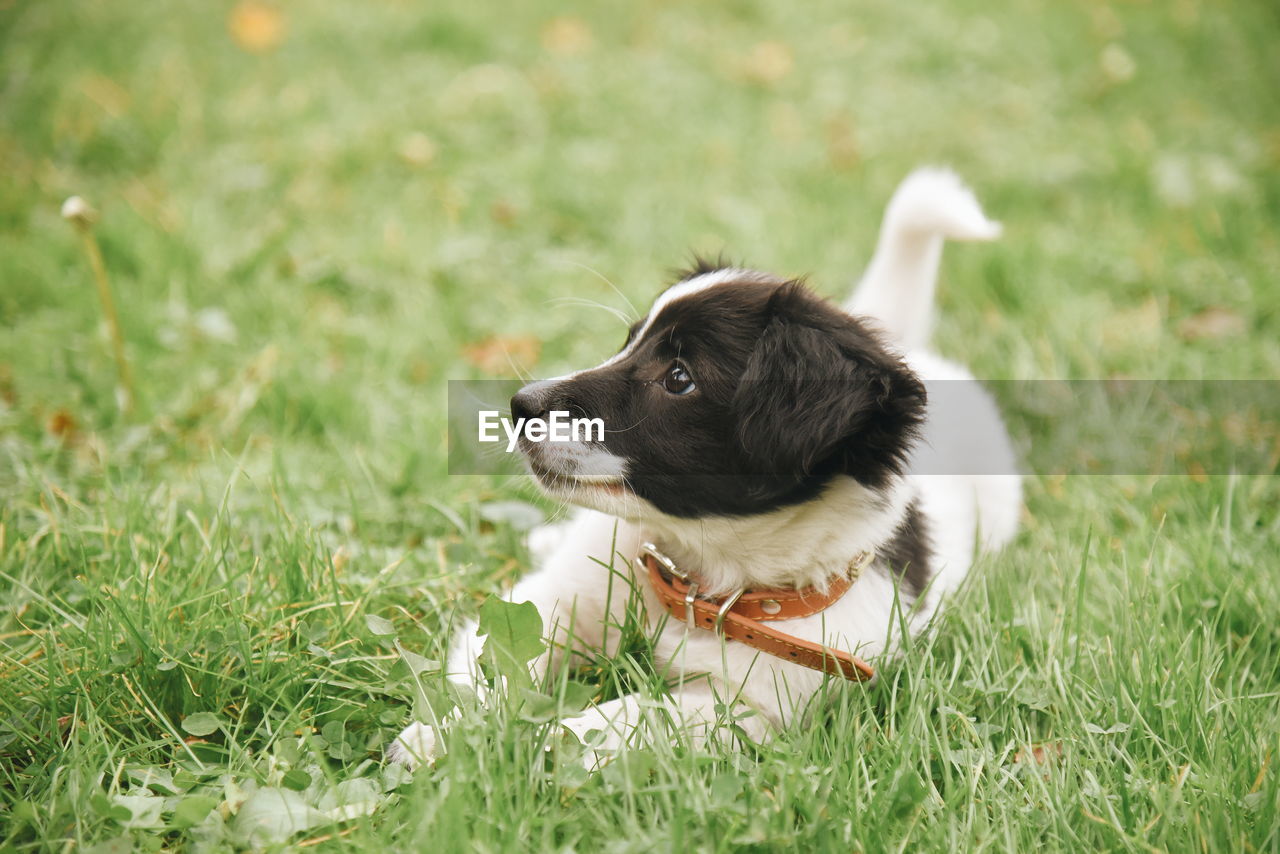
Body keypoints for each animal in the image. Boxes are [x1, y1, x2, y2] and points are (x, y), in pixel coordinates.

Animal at [389, 166, 1018, 768]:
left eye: (678, 378)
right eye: (627, 343)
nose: (520, 405)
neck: (699, 577)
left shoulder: (743, 706)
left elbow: (610, 722)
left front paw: (511, 746)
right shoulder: (554, 600)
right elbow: (496, 666)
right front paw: (448, 735)